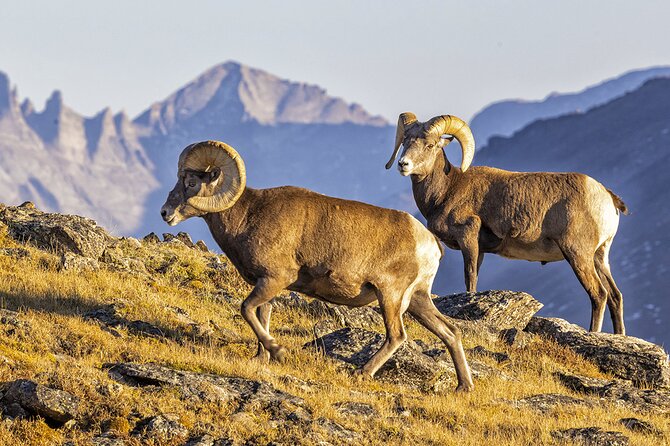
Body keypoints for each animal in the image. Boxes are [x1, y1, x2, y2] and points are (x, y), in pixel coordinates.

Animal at [160, 140, 476, 390]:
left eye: (191, 183)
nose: (165, 213)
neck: (248, 216)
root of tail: (429, 242)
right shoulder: (266, 286)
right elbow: (260, 316)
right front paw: (261, 358)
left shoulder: (275, 279)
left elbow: (246, 309)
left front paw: (279, 352)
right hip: (418, 301)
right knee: (450, 332)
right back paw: (463, 387)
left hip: (391, 296)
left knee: (397, 335)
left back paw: (361, 373)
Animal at [388, 115, 632, 334]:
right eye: (405, 142)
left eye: (429, 145)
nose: (403, 164)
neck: (447, 190)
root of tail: (607, 197)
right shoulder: (480, 250)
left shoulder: (468, 239)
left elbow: (470, 278)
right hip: (600, 256)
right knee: (615, 295)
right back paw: (619, 335)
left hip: (578, 254)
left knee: (599, 294)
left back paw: (593, 333)